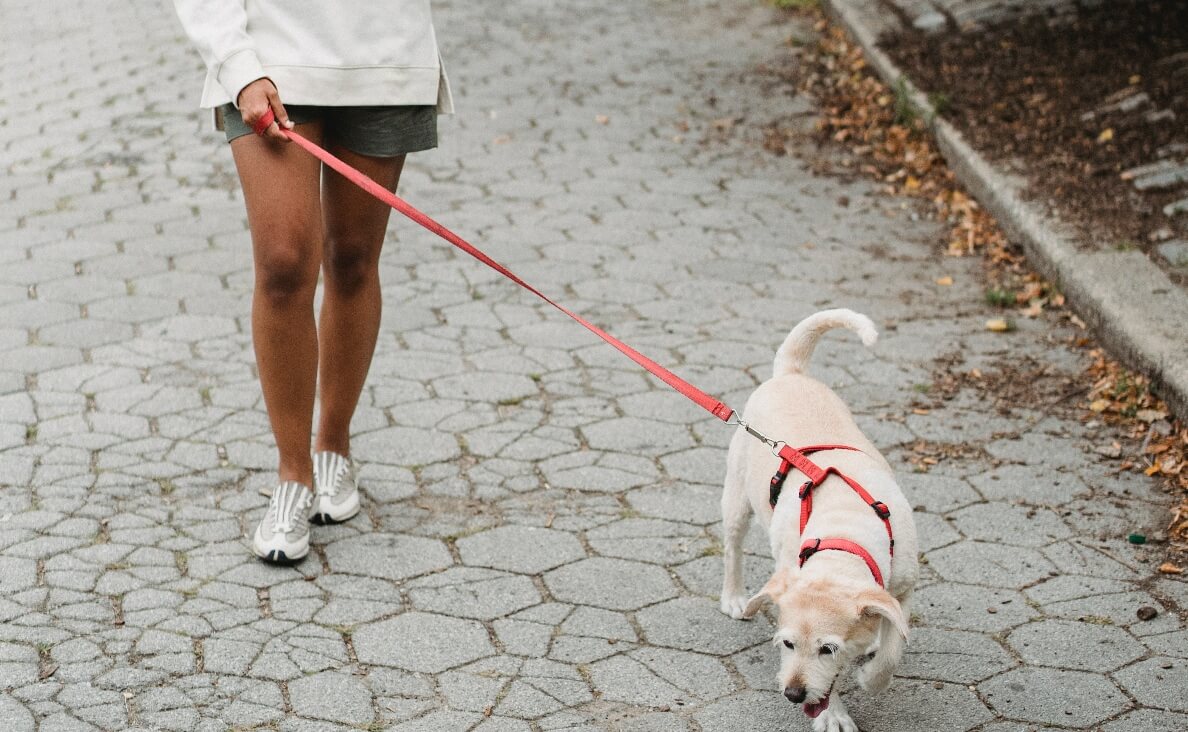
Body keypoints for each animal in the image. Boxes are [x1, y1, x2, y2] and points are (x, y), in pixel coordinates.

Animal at [712, 308, 917, 732]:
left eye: (829, 649)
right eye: (787, 643)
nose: (793, 694)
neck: (844, 534)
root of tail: (790, 373)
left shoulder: (904, 588)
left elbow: (891, 650)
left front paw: (871, 674)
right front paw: (832, 715)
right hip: (737, 496)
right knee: (732, 546)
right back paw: (735, 597)